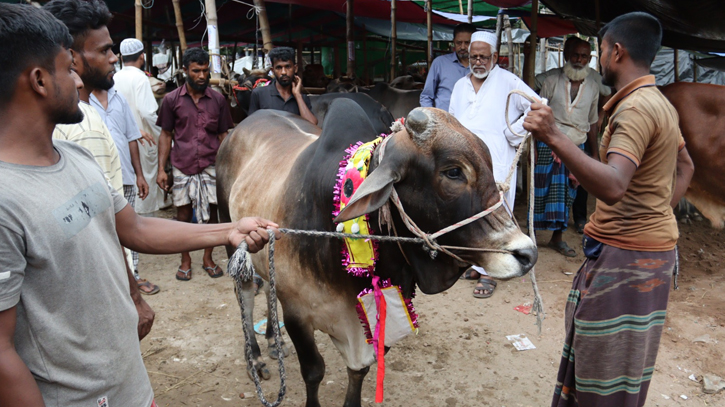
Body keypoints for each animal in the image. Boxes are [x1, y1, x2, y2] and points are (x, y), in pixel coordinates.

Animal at [212, 99, 536, 407]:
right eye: (454, 172)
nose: (528, 254)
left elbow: (358, 372)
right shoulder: (297, 315)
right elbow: (314, 372)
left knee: (267, 286)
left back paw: (272, 341)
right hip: (233, 237)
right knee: (245, 293)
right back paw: (255, 357)